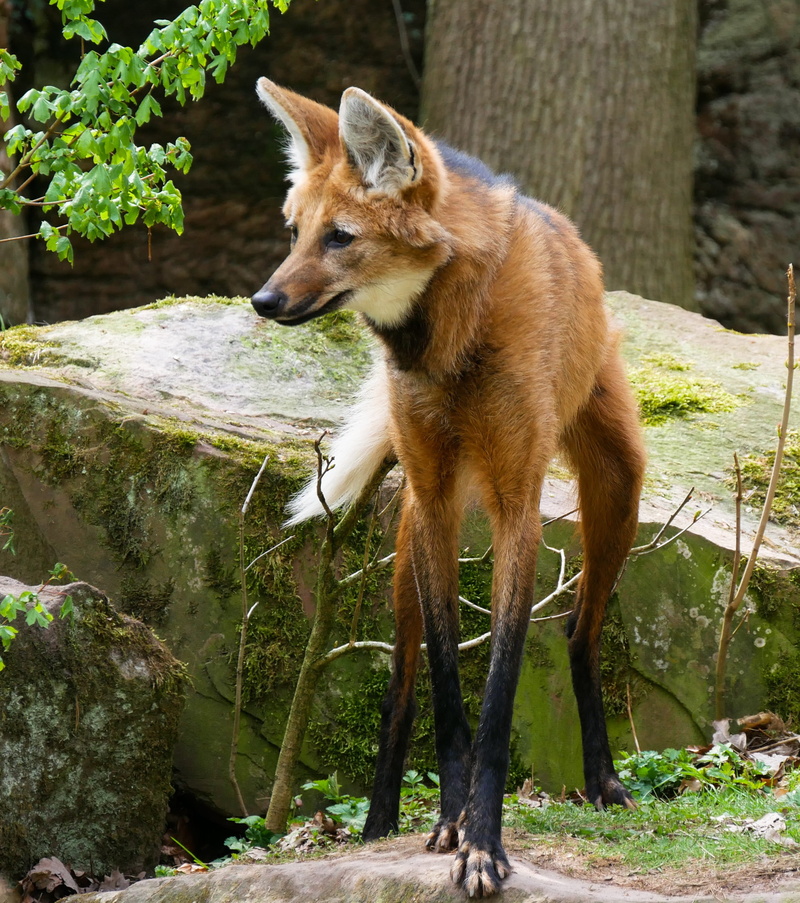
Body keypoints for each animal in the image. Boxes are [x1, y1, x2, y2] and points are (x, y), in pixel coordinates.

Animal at [251, 79, 646, 897]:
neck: (450, 335)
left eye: (340, 238)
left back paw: (603, 780)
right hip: (408, 534)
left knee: (579, 631)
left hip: (619, 485)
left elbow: (498, 692)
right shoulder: (434, 499)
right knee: (400, 681)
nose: (262, 301)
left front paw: (484, 844)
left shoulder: (516, 502)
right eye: (295, 232)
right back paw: (380, 824)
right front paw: (452, 823)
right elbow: (442, 676)